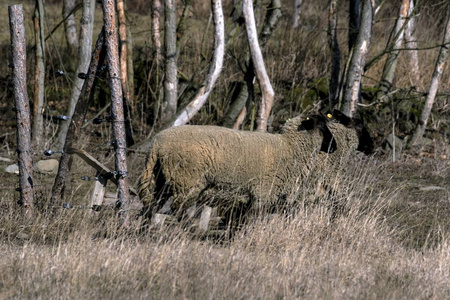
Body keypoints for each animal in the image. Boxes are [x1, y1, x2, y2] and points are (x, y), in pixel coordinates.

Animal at [138, 110, 372, 220]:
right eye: (323, 126)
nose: (333, 147)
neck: (289, 147)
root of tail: (157, 143)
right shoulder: (263, 192)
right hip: (186, 181)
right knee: (177, 210)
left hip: (161, 180)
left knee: (152, 208)